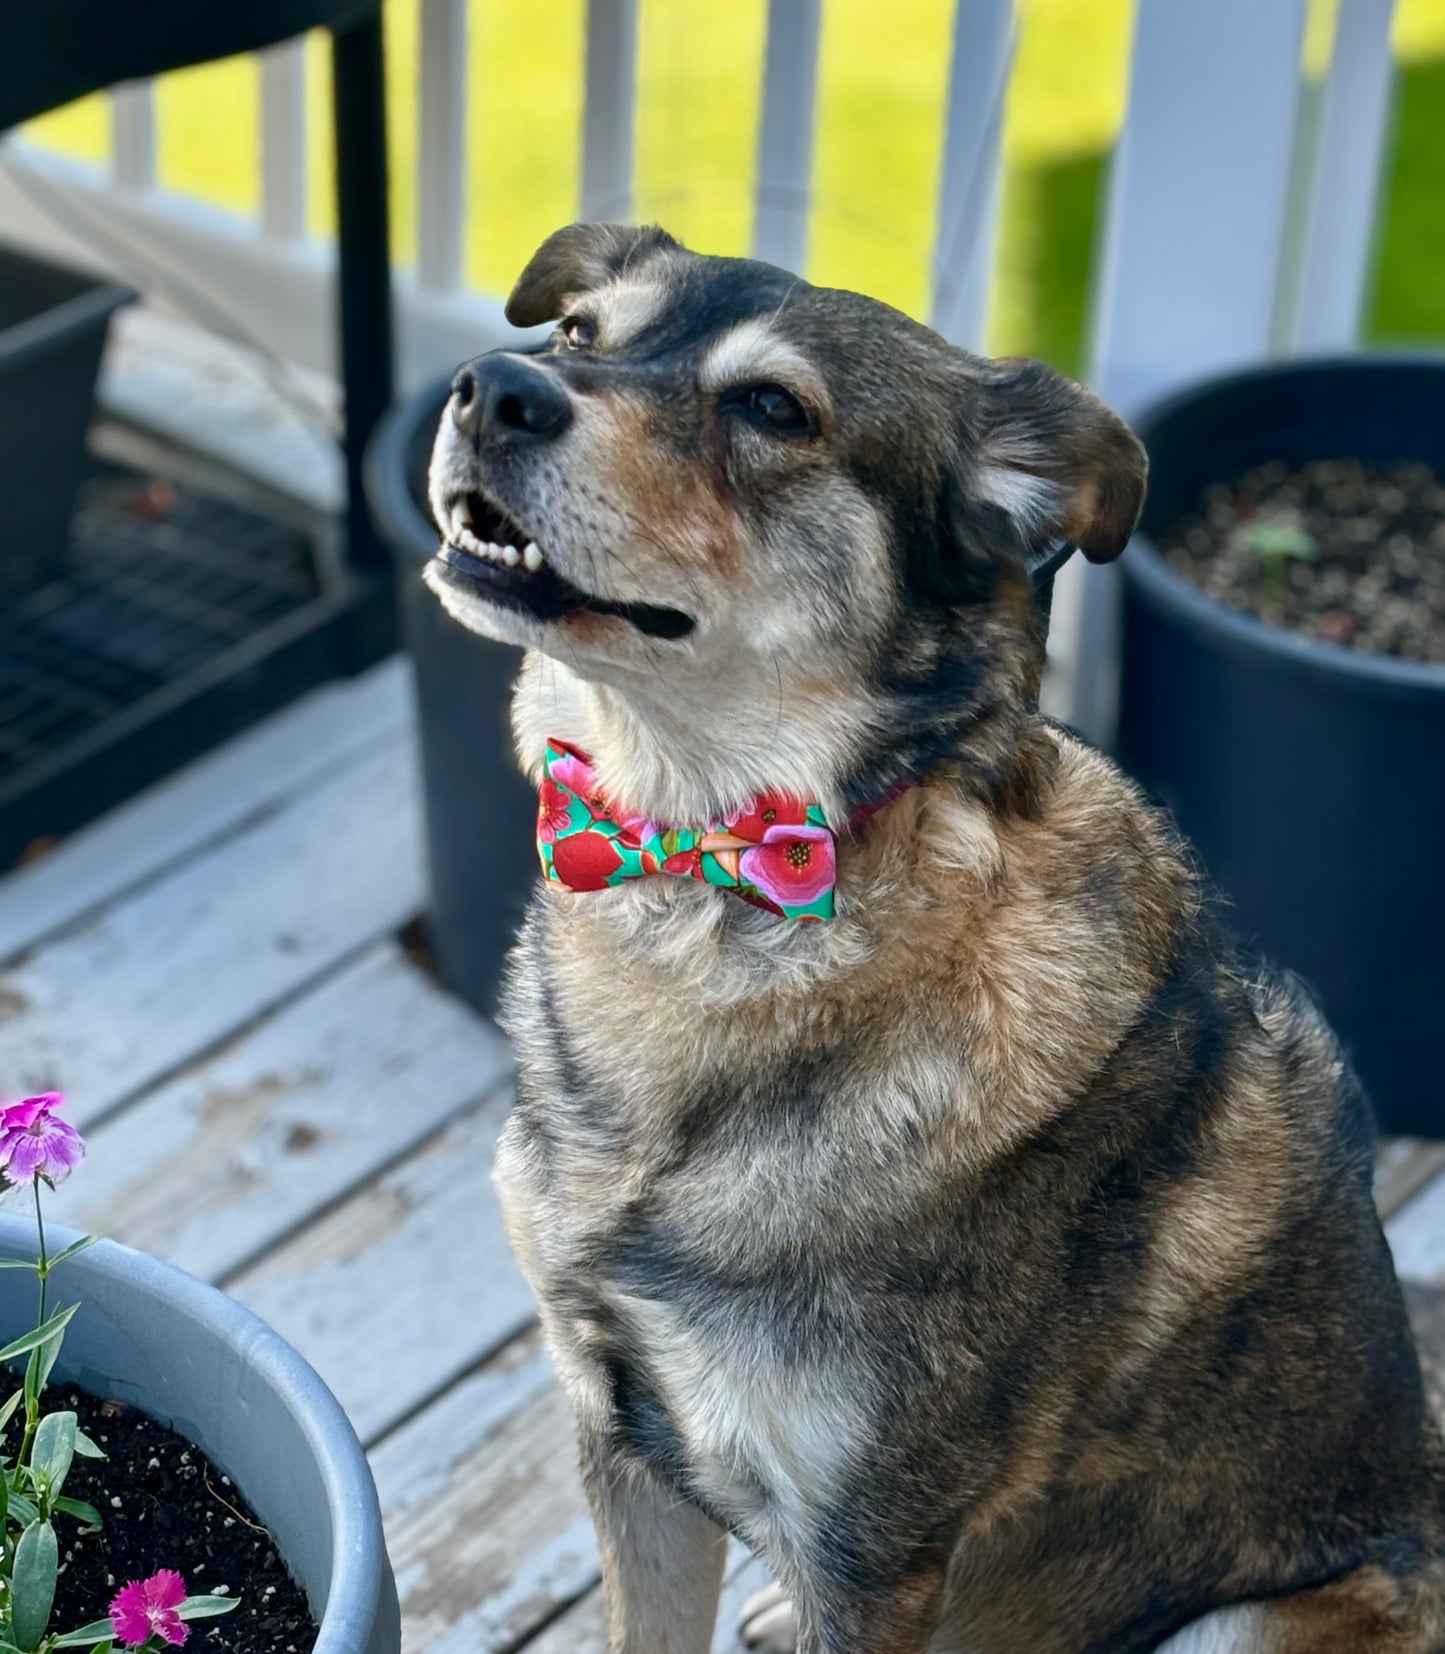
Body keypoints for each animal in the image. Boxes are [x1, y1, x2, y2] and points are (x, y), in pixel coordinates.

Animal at [419, 223, 1441, 1654]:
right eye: (579, 336)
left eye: (772, 409)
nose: (491, 389)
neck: (718, 883)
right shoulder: (621, 1437)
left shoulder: (871, 1550)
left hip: (1252, 1619)